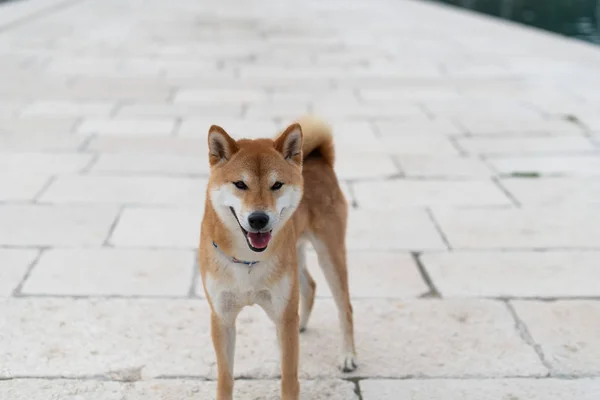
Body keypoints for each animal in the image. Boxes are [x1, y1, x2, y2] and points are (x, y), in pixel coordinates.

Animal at [197, 114, 356, 398]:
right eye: (240, 184)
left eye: (277, 185)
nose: (258, 219)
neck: (248, 261)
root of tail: (318, 158)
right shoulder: (222, 318)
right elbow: (225, 378)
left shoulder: (283, 315)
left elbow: (289, 379)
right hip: (296, 254)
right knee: (309, 285)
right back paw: (303, 323)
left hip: (329, 254)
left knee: (344, 306)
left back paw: (347, 355)